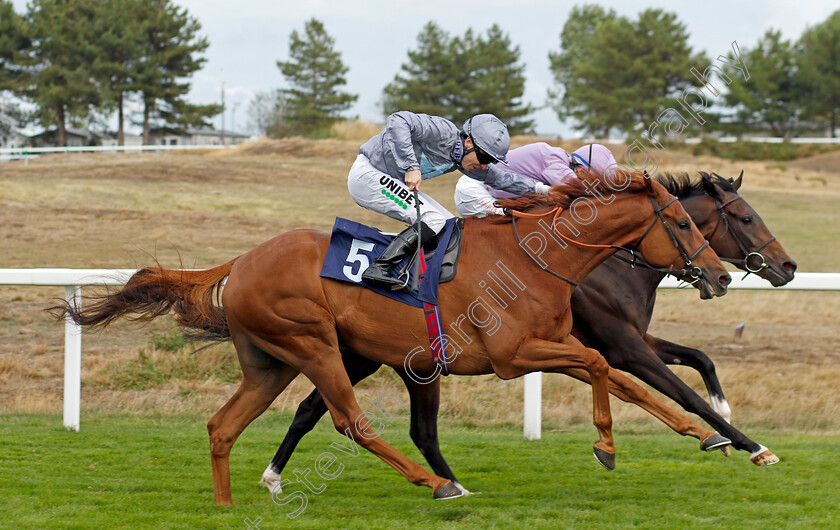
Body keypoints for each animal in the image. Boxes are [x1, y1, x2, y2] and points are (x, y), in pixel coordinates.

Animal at [60, 172, 728, 504]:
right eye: (686, 221)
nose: (721, 275)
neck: (537, 256)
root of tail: (241, 260)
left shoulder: (550, 347)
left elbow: (613, 372)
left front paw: (705, 434)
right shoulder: (515, 355)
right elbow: (599, 364)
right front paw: (610, 444)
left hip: (271, 363)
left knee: (223, 426)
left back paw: (226, 507)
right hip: (313, 345)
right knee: (349, 421)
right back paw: (437, 483)